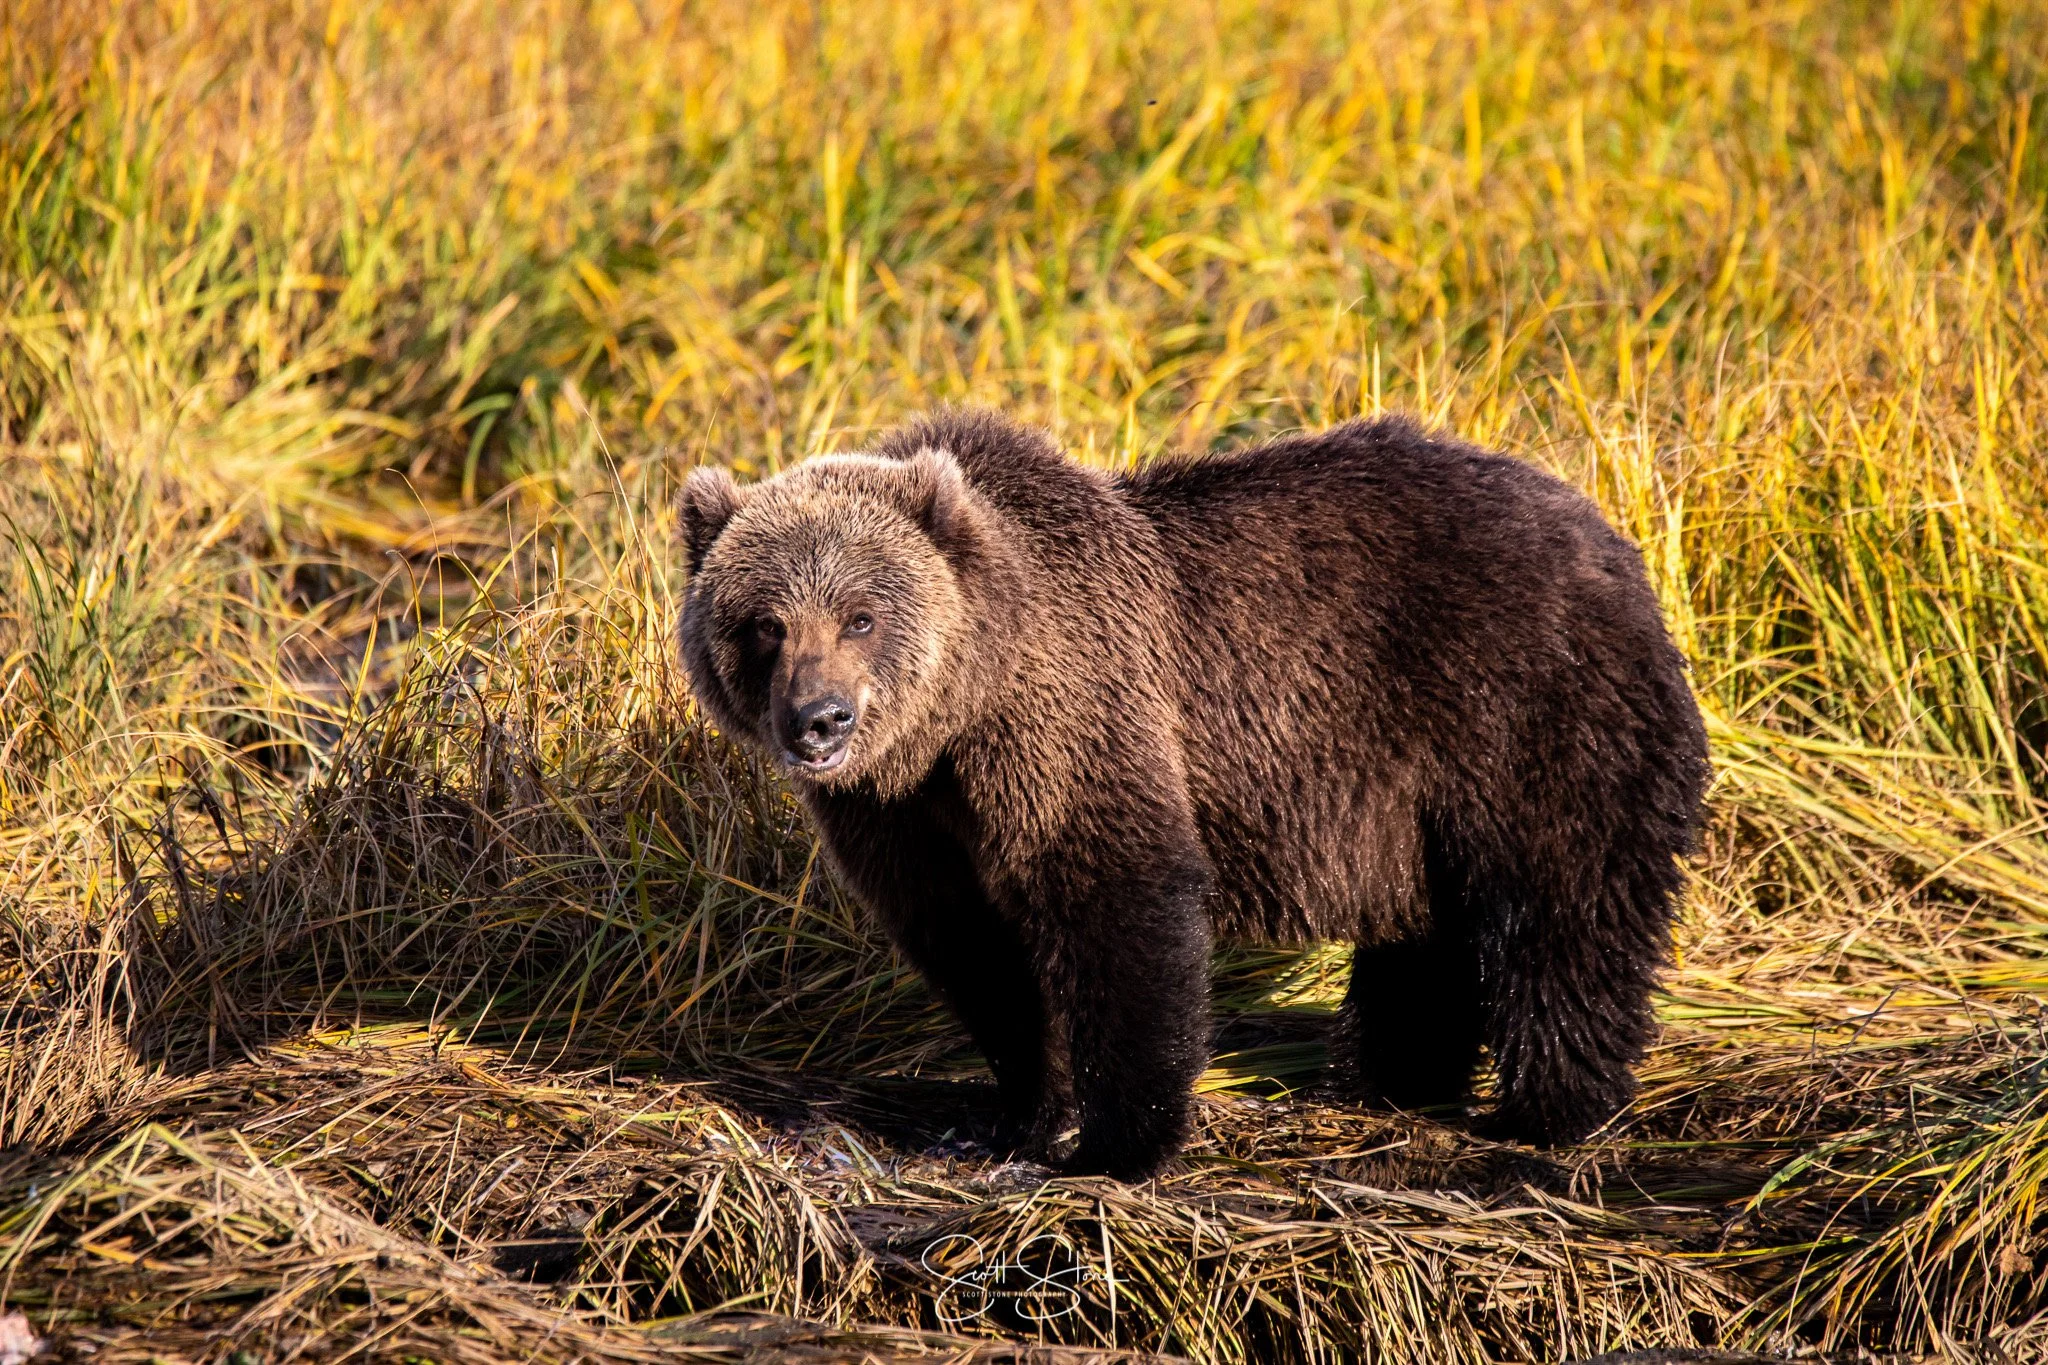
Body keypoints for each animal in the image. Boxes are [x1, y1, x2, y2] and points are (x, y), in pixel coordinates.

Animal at [677, 409, 1710, 1179]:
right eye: (764, 622)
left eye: (860, 614)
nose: (819, 720)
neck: (958, 713)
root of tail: (1609, 537)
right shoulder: (905, 815)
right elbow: (974, 947)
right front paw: (1010, 1114)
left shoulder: (1072, 717)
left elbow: (1119, 899)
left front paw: (1116, 1141)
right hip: (1415, 792)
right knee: (1433, 928)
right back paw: (1393, 1072)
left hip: (1521, 711)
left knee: (1564, 904)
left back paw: (1550, 1106)